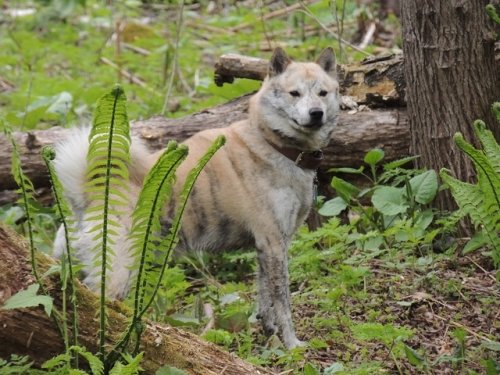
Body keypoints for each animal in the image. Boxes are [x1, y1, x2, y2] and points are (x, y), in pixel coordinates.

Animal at [53, 47, 340, 350]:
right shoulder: (273, 244)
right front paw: (292, 344)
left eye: (322, 93)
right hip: (120, 273)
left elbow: (265, 301)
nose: (316, 113)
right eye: (294, 93)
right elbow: (283, 304)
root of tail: (91, 194)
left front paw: (269, 334)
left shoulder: (266, 247)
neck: (272, 144)